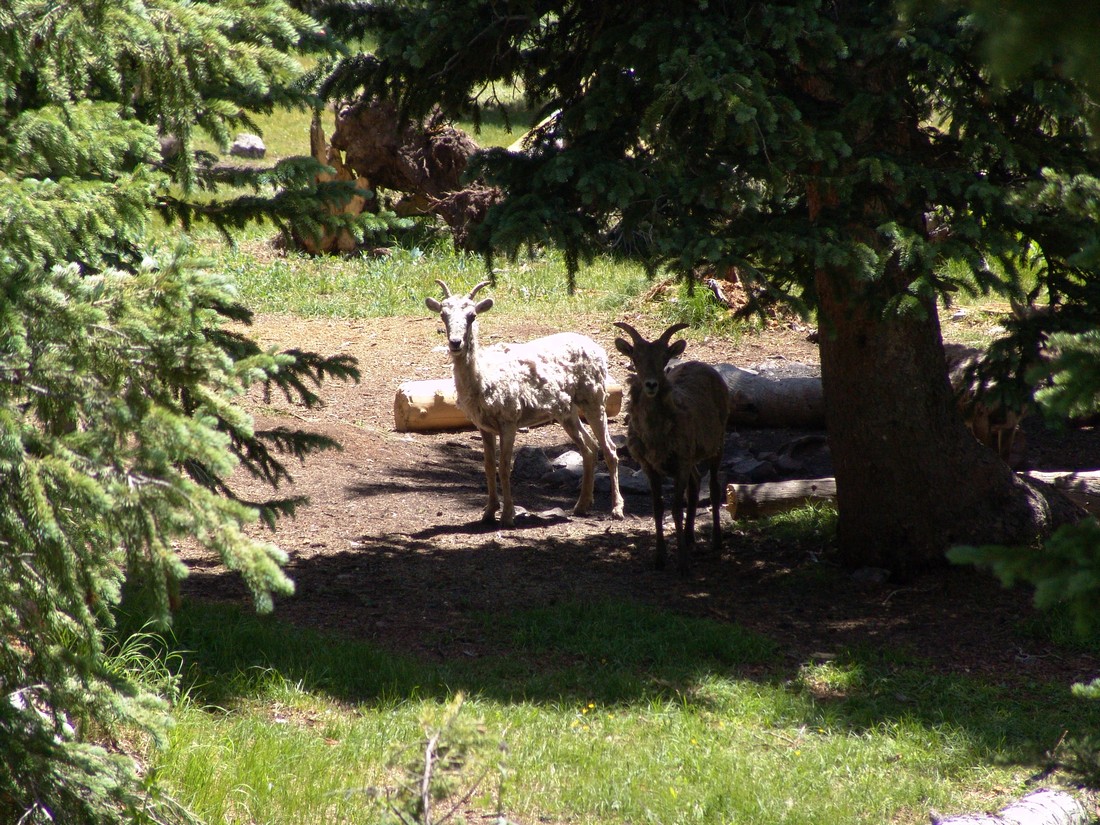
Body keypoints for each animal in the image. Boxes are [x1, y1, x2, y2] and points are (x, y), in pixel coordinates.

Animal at [424, 283, 624, 530]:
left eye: (472, 316)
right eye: (443, 315)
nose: (455, 343)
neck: (484, 377)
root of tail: (599, 350)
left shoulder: (509, 420)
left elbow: (504, 466)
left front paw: (507, 517)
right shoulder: (484, 426)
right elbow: (488, 466)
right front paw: (488, 513)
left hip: (594, 398)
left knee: (609, 449)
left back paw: (616, 509)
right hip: (567, 411)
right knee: (589, 448)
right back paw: (581, 506)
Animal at [611, 323, 730, 576]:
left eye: (664, 358)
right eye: (635, 358)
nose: (651, 385)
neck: (656, 435)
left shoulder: (682, 461)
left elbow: (675, 508)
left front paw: (683, 565)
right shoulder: (651, 466)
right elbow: (658, 508)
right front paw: (660, 559)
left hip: (718, 442)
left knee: (714, 487)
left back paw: (715, 541)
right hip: (692, 458)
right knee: (695, 484)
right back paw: (690, 537)